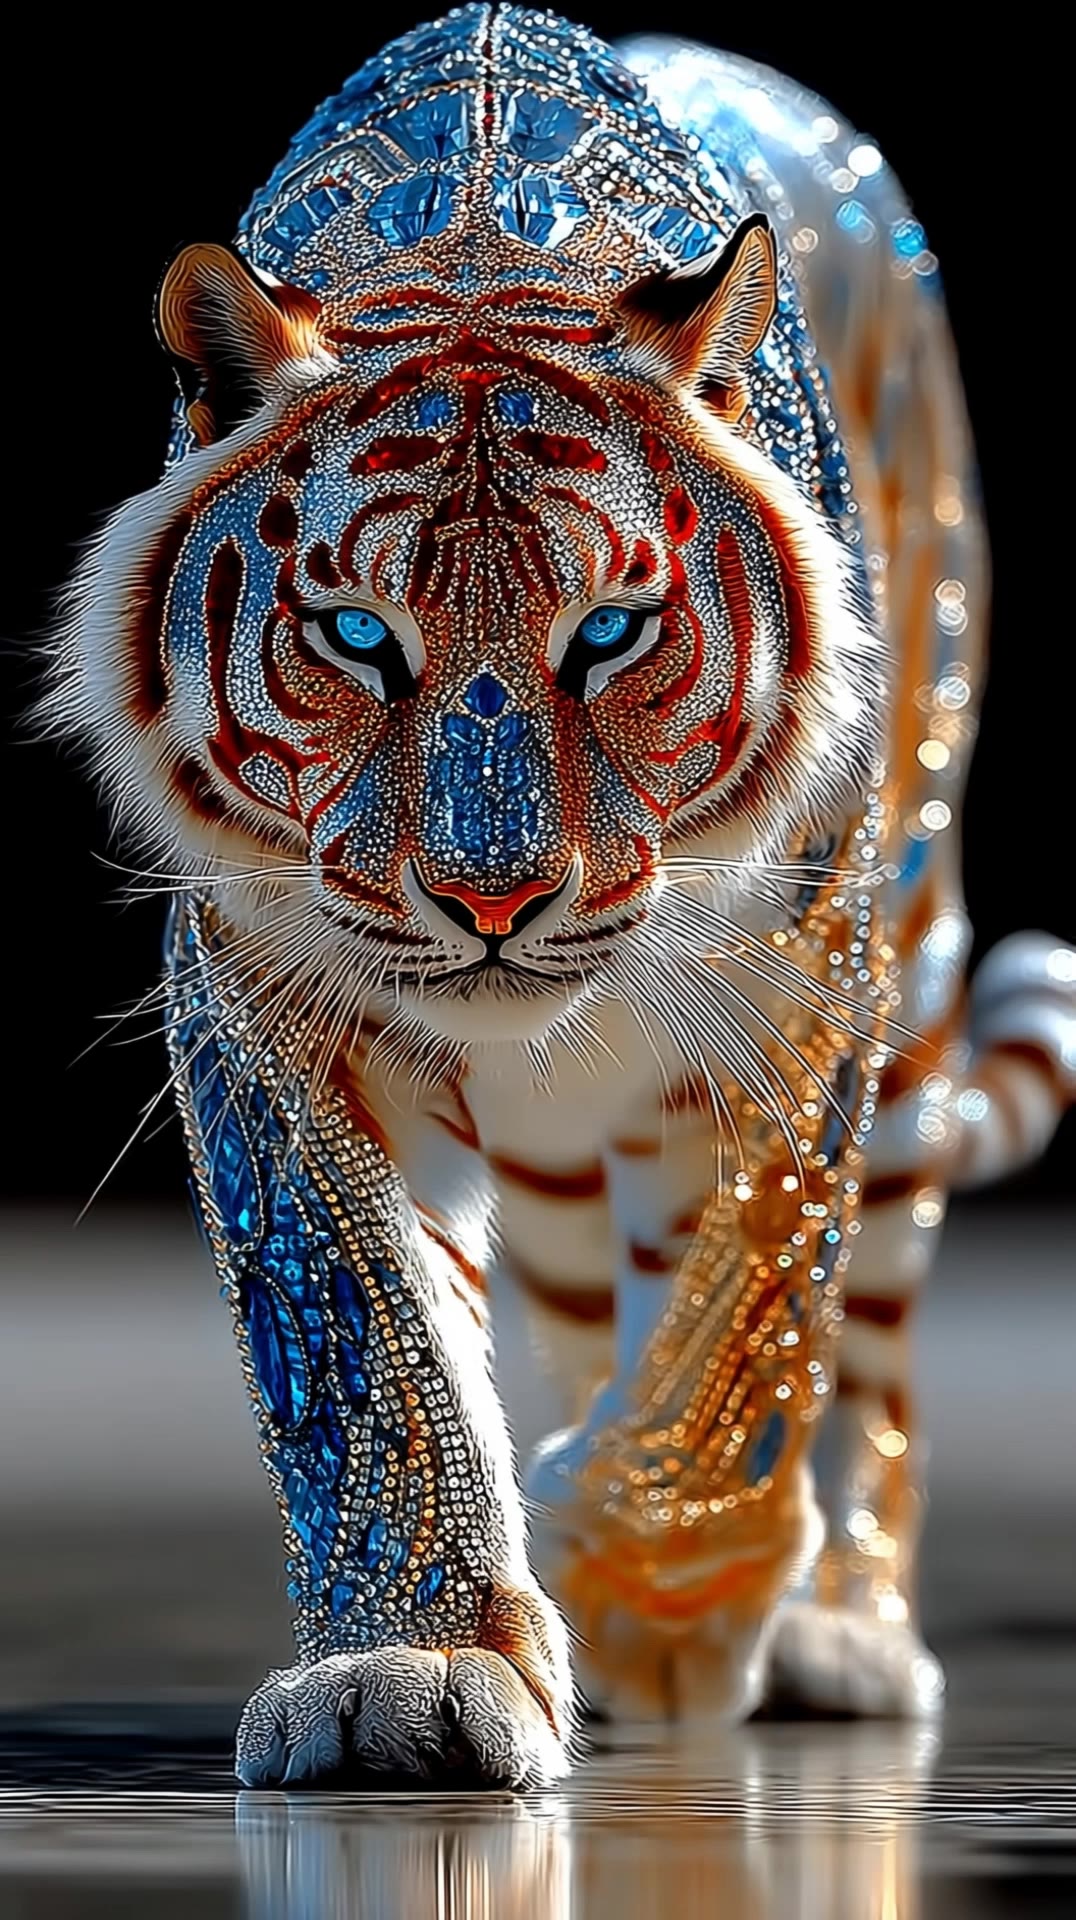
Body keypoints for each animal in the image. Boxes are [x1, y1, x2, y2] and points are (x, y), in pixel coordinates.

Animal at [50, 6, 1075, 1788]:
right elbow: (367, 1333)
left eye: (609, 632)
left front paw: (663, 1596)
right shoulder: (262, 994)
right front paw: (417, 1666)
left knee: (870, 1350)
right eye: (357, 635)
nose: (495, 901)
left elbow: (748, 1332)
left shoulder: (804, 994)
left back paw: (841, 1631)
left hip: (910, 940)